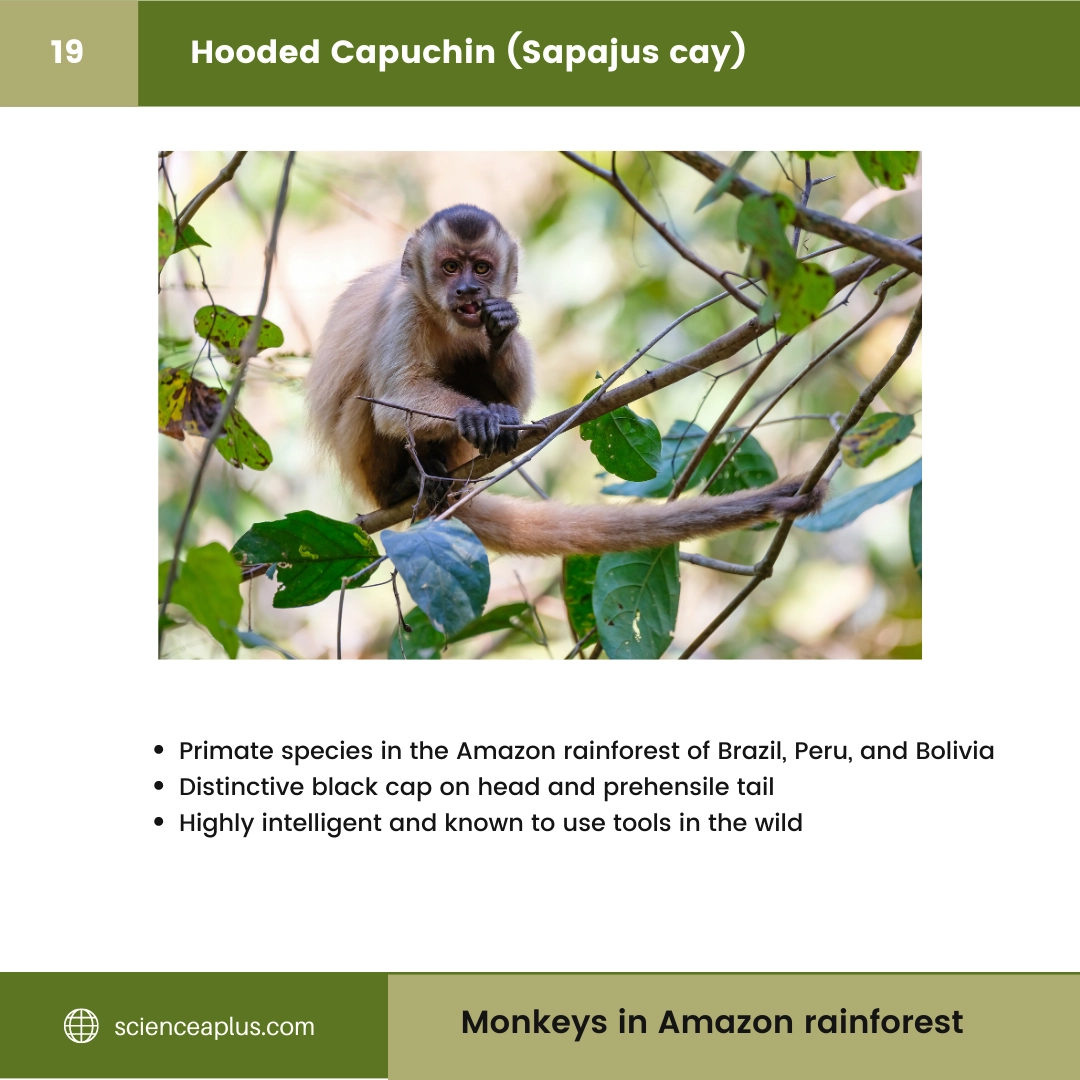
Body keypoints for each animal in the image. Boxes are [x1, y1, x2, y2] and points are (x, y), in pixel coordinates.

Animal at [306, 204, 826, 557]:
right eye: (451, 267)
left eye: (482, 268)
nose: (469, 290)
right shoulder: (403, 310)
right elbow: (390, 403)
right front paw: (475, 415)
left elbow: (517, 404)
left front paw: (501, 346)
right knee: (364, 403)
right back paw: (406, 484)